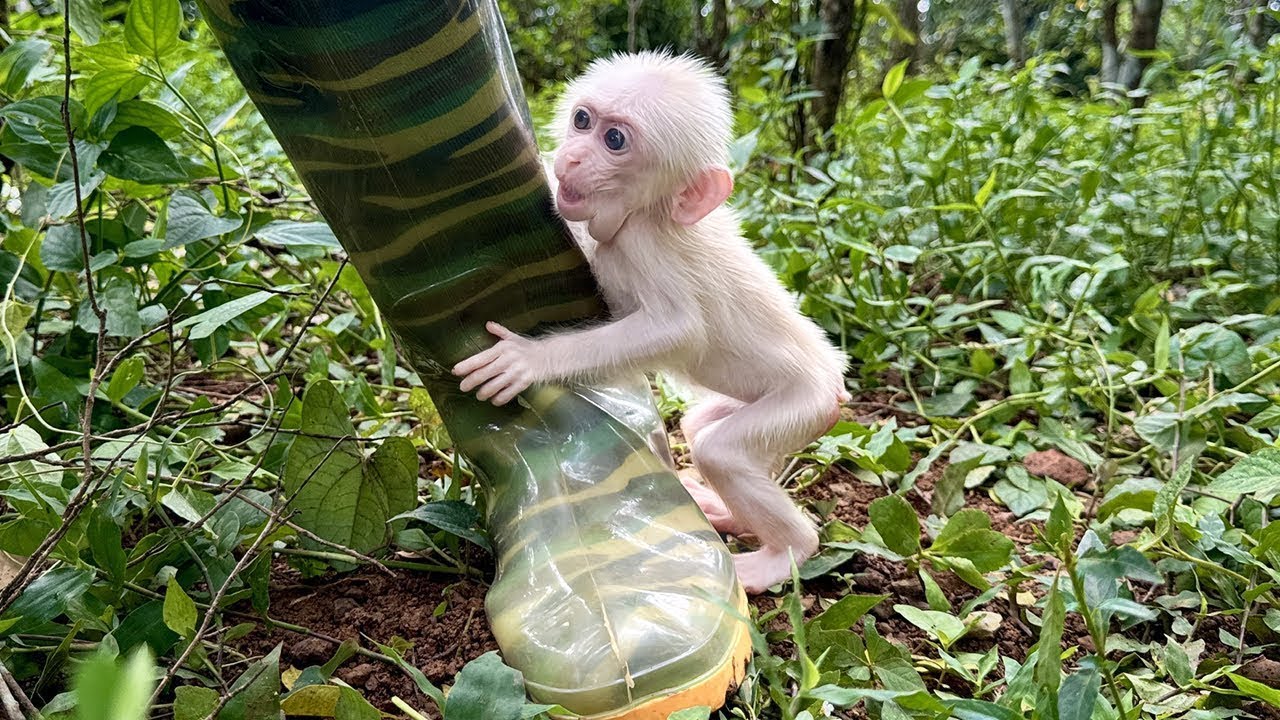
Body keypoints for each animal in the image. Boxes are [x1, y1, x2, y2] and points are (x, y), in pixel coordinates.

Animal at [452, 51, 849, 593]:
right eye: (582, 120)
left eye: (615, 141)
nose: (571, 159)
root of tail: (838, 387)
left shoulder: (645, 240)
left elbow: (678, 330)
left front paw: (530, 360)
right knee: (701, 426)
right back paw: (727, 514)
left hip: (805, 403)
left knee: (721, 452)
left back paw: (785, 551)